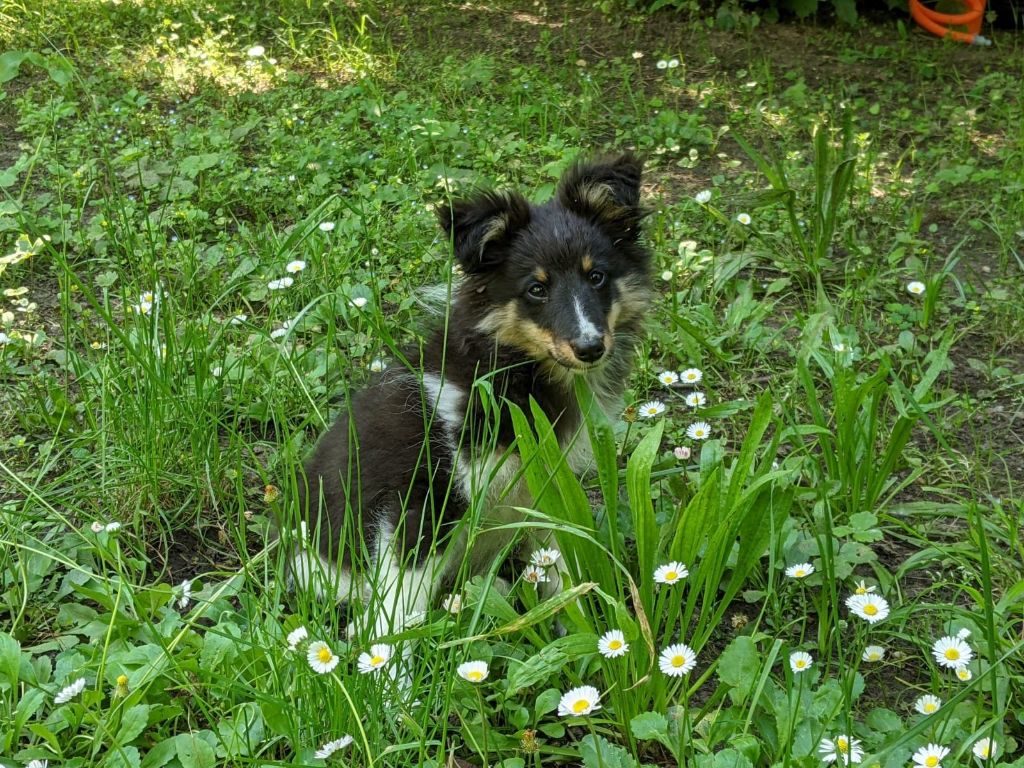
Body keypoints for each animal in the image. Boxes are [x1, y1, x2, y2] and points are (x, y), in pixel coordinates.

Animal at [292, 154, 651, 643]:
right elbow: (402, 601)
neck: (514, 373)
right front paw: (391, 663)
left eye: (596, 276)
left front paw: (587, 628)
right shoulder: (423, 495)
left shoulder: (546, 483)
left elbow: (560, 563)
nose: (590, 347)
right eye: (536, 288)